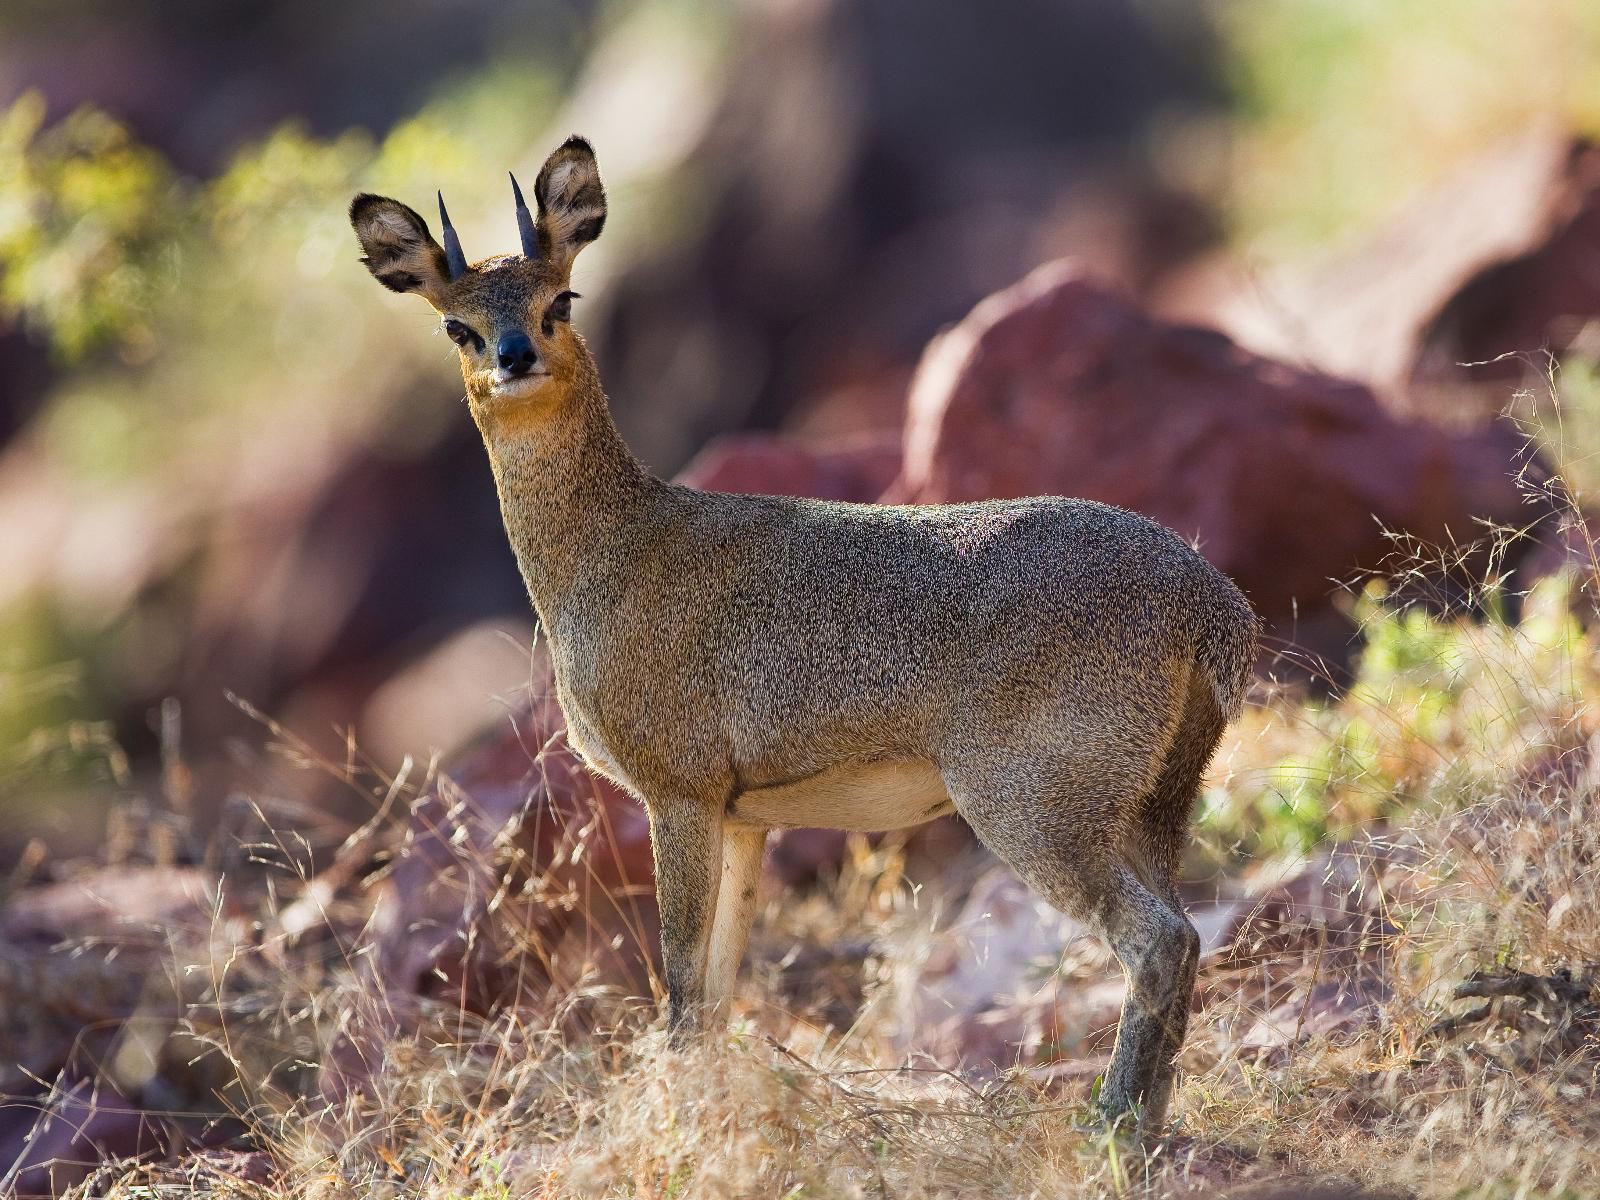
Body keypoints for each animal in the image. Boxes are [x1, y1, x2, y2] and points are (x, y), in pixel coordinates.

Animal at [350, 136, 1260, 1139]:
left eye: (563, 299)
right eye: (456, 327)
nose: (514, 356)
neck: (609, 553)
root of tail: (1210, 607)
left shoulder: (678, 788)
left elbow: (679, 986)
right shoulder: (746, 817)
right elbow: (713, 993)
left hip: (1034, 802)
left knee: (1158, 940)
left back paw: (1111, 1129)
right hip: (1151, 805)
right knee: (1187, 935)